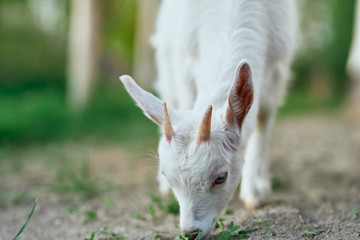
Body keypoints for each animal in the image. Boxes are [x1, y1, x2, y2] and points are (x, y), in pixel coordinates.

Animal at [119, 0, 296, 239]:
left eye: (221, 177)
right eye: (167, 175)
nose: (190, 232)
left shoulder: (278, 65)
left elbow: (263, 118)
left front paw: (256, 192)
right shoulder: (184, 59)